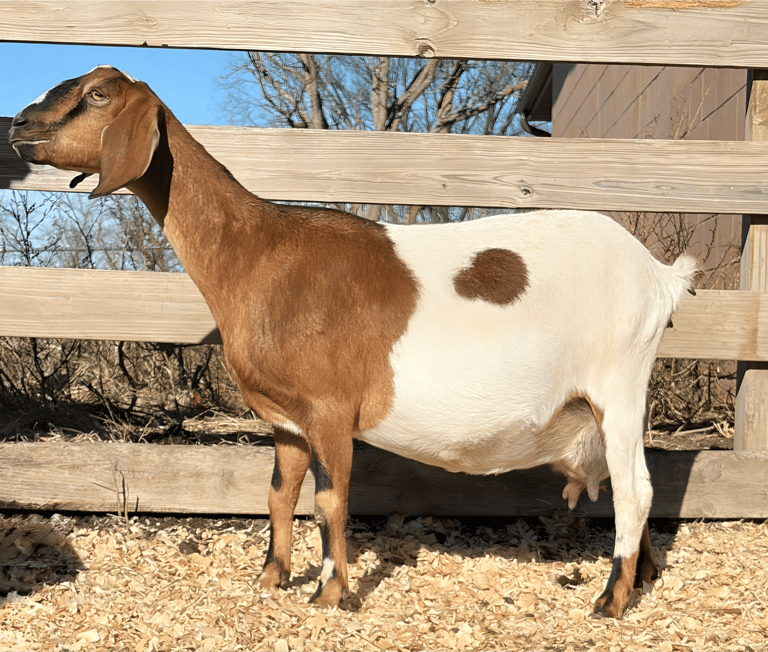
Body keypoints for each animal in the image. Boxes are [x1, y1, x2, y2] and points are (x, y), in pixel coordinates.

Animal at [9, 66, 697, 618]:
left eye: (97, 95)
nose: (17, 123)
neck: (258, 254)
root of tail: (660, 276)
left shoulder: (330, 410)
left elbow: (330, 501)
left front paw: (331, 594)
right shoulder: (286, 419)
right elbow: (279, 496)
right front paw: (270, 579)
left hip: (618, 384)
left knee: (636, 490)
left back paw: (610, 600)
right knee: (636, 490)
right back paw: (641, 581)